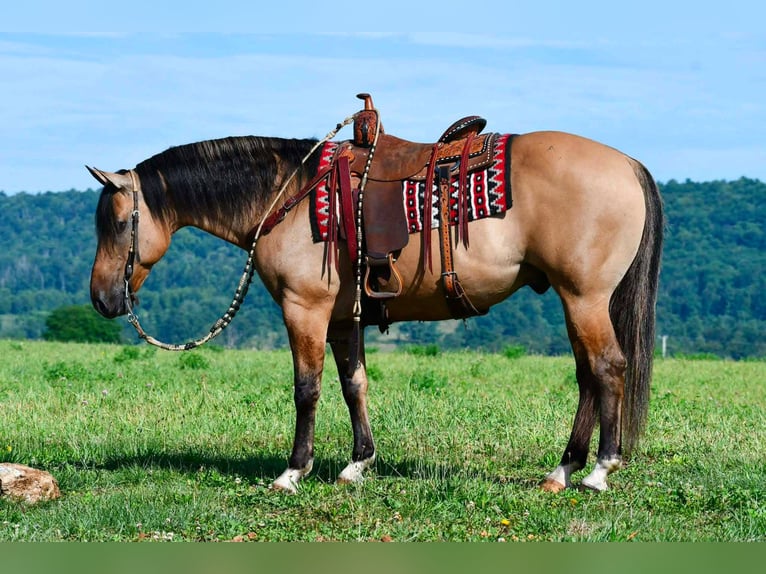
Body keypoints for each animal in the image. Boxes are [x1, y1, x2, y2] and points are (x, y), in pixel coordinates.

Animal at [87, 113, 663, 494]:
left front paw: (293, 471)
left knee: (607, 369)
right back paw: (562, 470)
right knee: (587, 376)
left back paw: (599, 469)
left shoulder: (305, 310)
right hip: (575, 300)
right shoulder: (344, 319)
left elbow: (307, 389)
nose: (101, 299)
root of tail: (628, 164)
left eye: (115, 223)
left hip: (585, 298)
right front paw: (358, 463)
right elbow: (353, 384)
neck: (289, 193)